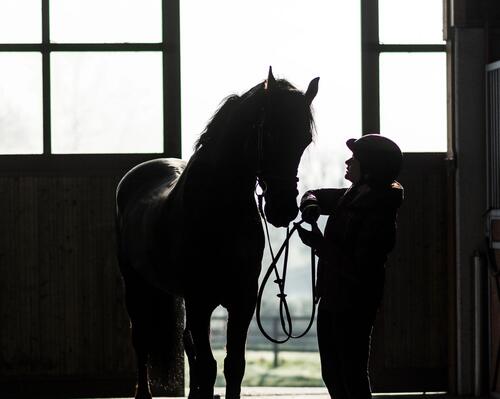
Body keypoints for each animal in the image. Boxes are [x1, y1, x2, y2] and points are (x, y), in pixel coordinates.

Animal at [115, 69, 318, 399]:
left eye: (305, 140)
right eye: (270, 134)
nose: (284, 209)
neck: (220, 208)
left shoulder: (242, 299)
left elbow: (233, 365)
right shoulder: (200, 299)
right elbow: (210, 365)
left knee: (188, 343)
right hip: (137, 285)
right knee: (142, 338)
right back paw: (143, 393)